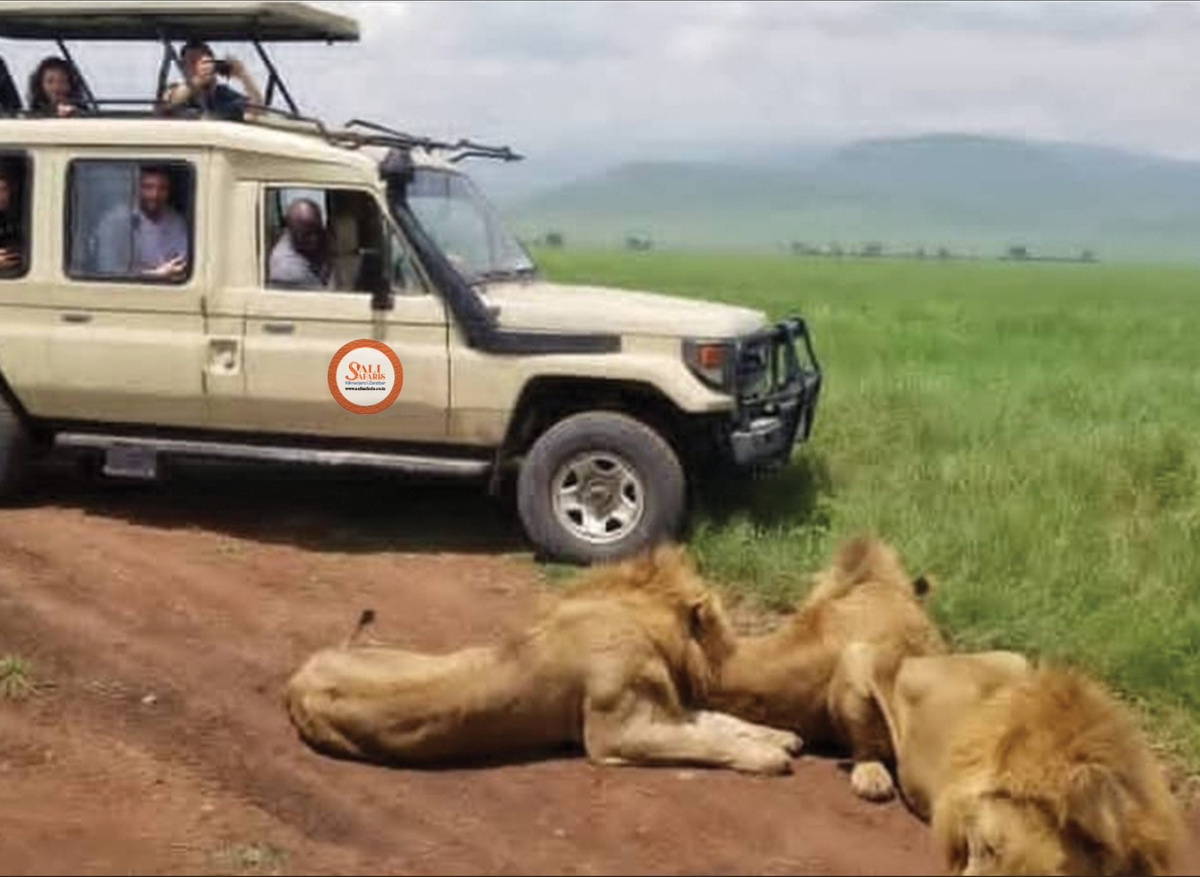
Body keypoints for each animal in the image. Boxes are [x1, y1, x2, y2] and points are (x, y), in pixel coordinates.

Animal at [283, 543, 803, 775]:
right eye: (723, 632)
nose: (735, 655)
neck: (639, 620)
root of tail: (296, 680)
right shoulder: (615, 736)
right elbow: (705, 742)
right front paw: (767, 756)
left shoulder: (665, 711)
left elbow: (719, 722)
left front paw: (782, 736)